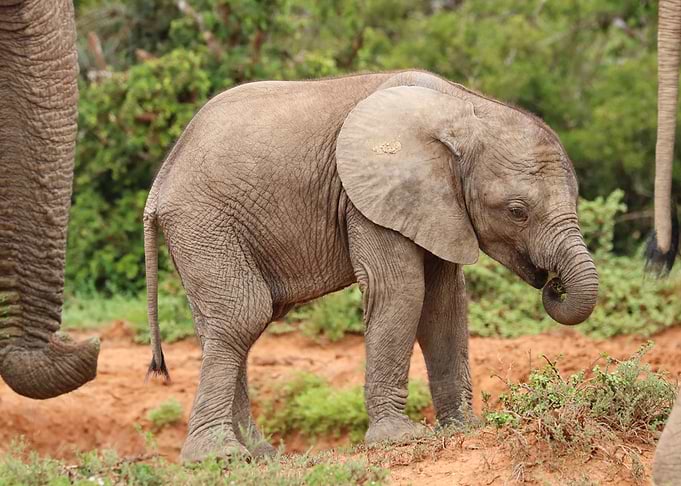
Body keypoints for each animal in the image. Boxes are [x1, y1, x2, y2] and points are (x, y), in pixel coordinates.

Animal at [143, 69, 599, 462]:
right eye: (517, 212)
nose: (553, 284)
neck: (465, 110)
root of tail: (160, 181)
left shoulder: (436, 204)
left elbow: (444, 304)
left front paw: (464, 429)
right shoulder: (370, 195)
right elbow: (401, 289)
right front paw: (398, 438)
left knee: (223, 328)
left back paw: (259, 457)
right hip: (203, 222)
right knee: (242, 316)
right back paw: (218, 456)